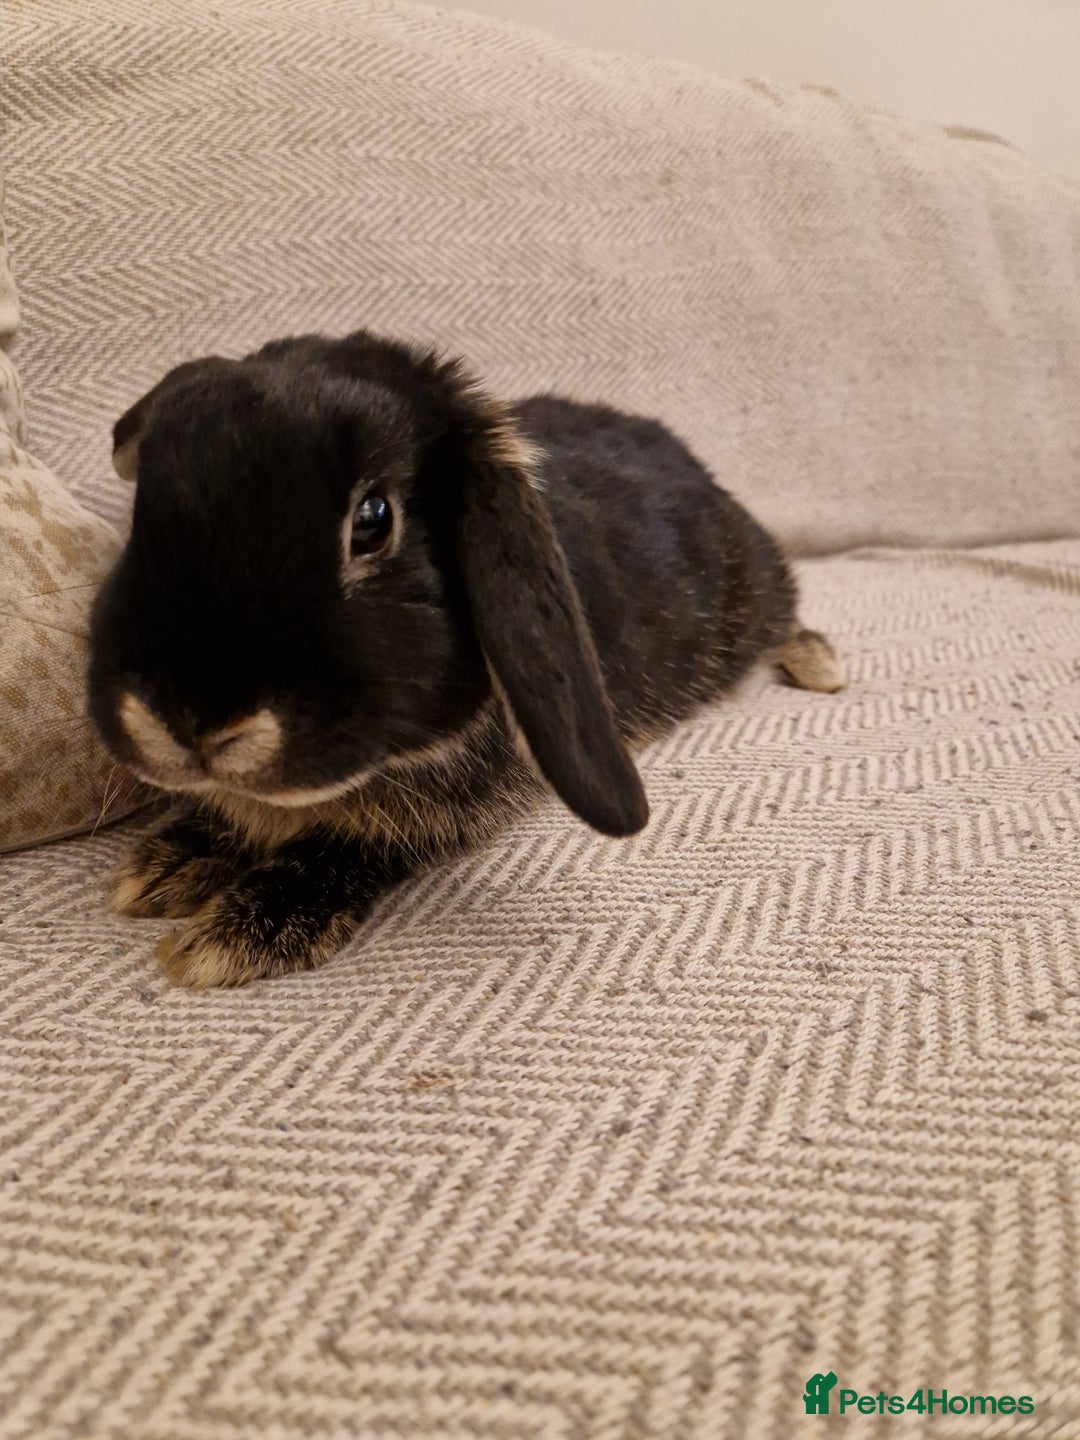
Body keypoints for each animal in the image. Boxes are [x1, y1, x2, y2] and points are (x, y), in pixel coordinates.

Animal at [88, 330, 843, 988]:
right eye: (144, 514)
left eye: (373, 521)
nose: (190, 722)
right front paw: (166, 865)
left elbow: (357, 844)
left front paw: (236, 933)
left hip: (755, 591)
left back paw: (821, 667)